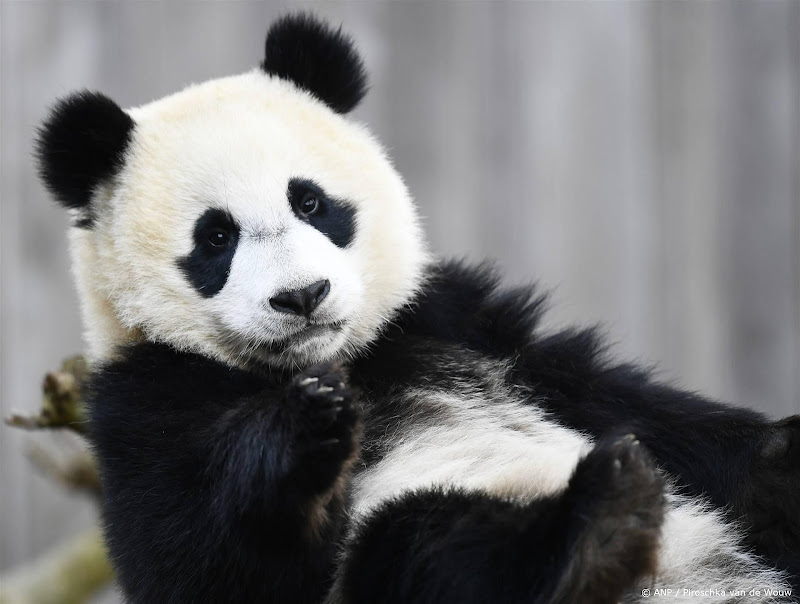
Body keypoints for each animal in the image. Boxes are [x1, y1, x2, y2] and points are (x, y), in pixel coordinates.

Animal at [35, 13, 798, 604]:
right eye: (215, 237)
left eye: (310, 201)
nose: (302, 297)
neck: (341, 361)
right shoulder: (144, 403)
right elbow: (203, 563)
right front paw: (307, 428)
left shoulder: (452, 319)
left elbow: (625, 403)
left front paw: (777, 454)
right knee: (425, 540)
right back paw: (595, 532)